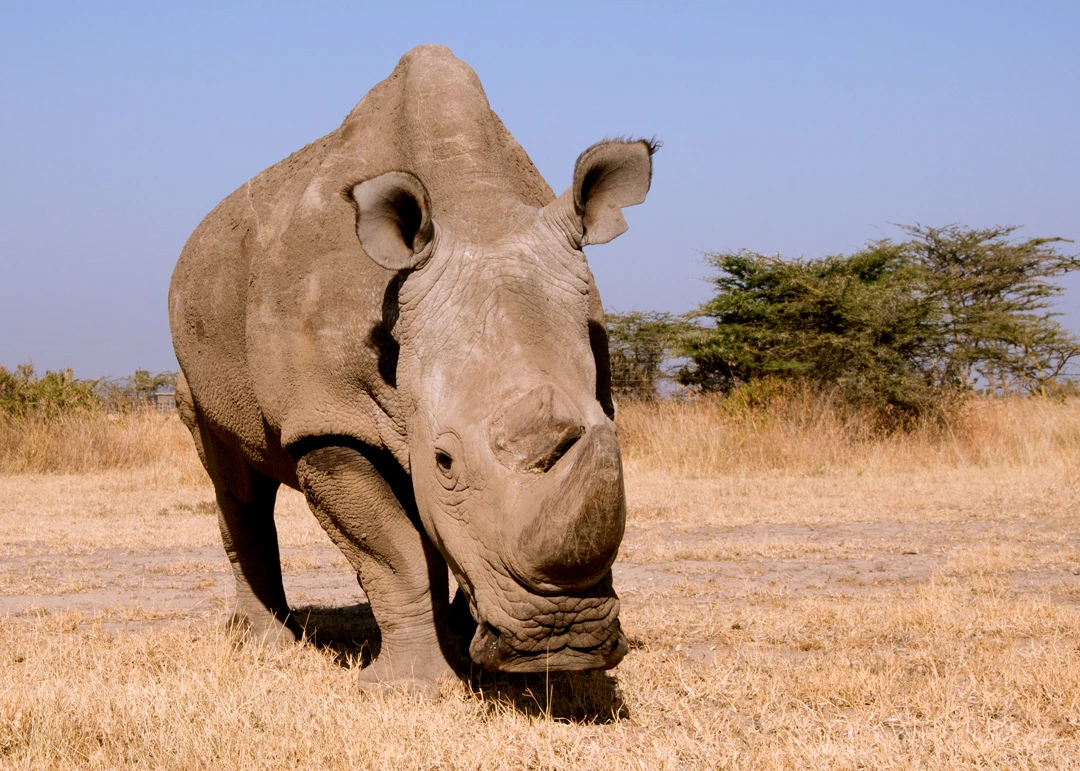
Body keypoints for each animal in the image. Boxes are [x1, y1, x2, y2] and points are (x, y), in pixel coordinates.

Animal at [169, 44, 655, 695]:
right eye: (445, 461)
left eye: (613, 434)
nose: (565, 643)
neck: (474, 206)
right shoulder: (326, 420)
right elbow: (396, 554)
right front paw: (413, 687)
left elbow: (445, 533)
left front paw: (473, 658)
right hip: (198, 363)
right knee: (237, 484)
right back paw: (267, 644)